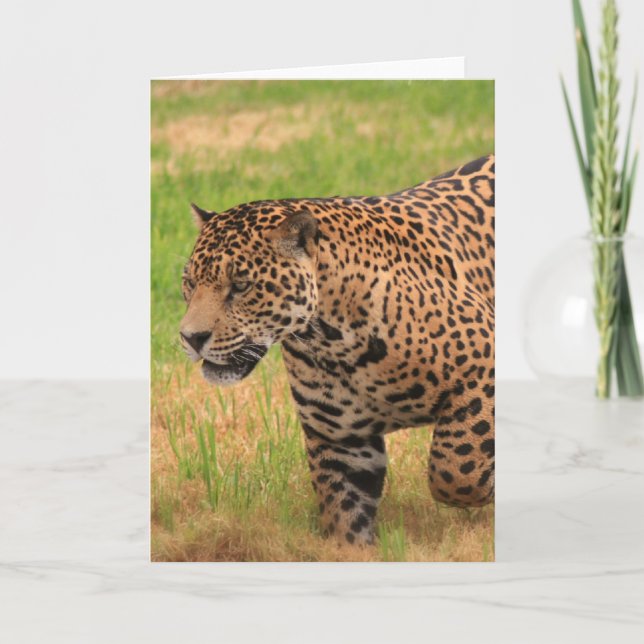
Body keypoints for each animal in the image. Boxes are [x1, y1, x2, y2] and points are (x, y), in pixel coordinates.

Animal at [179, 154, 495, 545]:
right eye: (189, 283)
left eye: (241, 286)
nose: (190, 337)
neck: (333, 341)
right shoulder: (341, 441)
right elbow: (344, 516)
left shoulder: (483, 372)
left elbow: (456, 471)